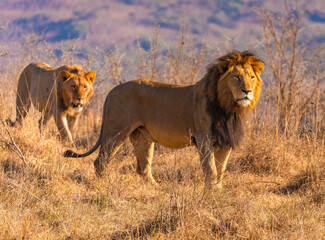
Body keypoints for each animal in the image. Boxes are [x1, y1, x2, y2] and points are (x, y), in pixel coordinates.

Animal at [64, 51, 264, 189]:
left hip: (143, 137)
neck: (229, 108)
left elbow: (221, 170)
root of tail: (111, 91)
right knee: (101, 161)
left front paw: (218, 191)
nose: (247, 91)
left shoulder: (225, 141)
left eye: (252, 77)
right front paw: (210, 193)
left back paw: (158, 189)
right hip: (115, 131)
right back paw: (105, 185)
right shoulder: (204, 138)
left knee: (143, 168)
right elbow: (211, 169)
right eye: (236, 77)